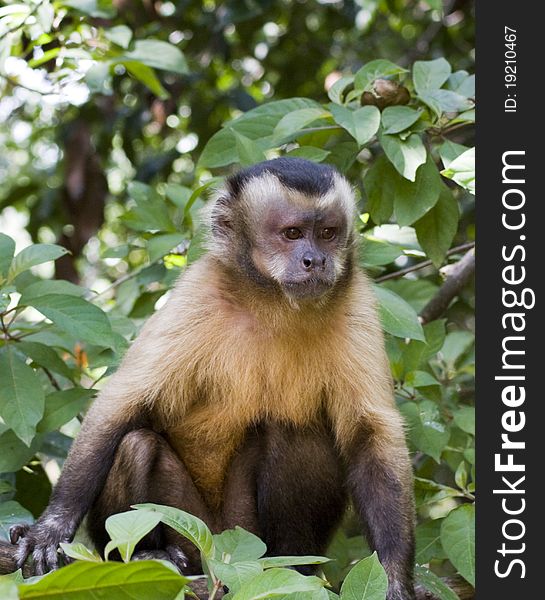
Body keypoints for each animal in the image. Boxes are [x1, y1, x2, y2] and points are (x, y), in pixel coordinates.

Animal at [10, 157, 414, 596]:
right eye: (292, 234)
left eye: (327, 234)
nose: (315, 260)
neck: (274, 302)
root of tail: (222, 554)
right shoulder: (198, 292)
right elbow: (121, 405)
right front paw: (51, 529)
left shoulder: (356, 299)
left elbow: (369, 434)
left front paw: (395, 576)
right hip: (189, 530)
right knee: (136, 445)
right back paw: (152, 554)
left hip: (245, 535)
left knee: (299, 434)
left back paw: (292, 567)